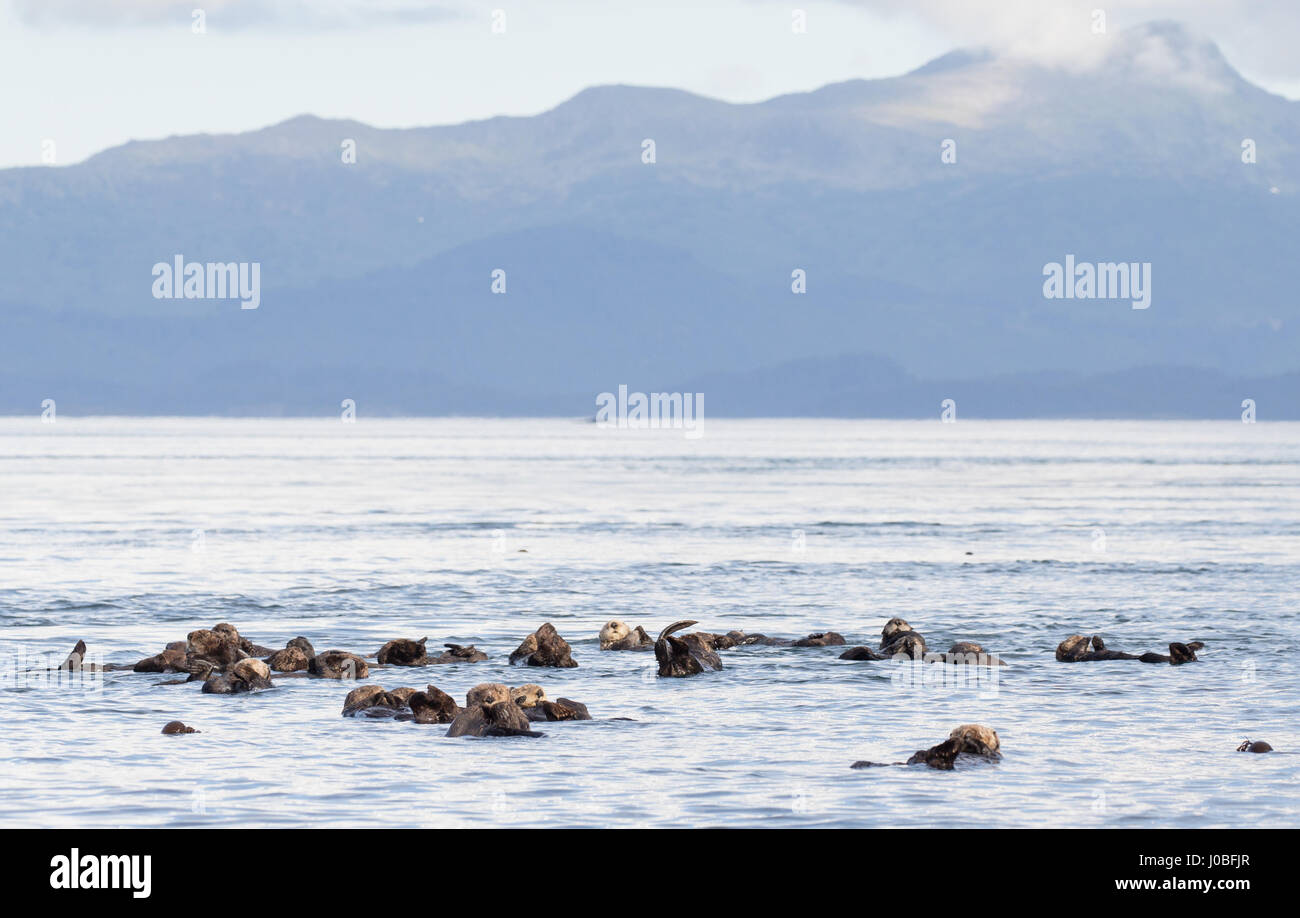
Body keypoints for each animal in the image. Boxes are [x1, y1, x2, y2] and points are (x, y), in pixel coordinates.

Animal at [851, 724, 1002, 771]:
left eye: (980, 732)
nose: (961, 735)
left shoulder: (995, 755)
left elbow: (986, 750)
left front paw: (970, 738)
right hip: (920, 755)